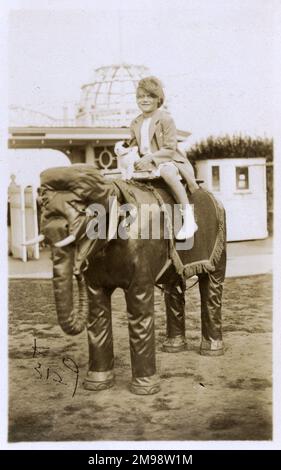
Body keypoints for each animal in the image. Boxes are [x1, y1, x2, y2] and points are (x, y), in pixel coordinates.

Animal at [31, 165, 226, 396]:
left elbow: (139, 303)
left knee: (212, 285)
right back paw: (174, 348)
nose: (78, 269)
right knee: (173, 288)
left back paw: (212, 351)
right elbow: (97, 307)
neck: (113, 188)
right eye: (43, 206)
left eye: (84, 210)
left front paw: (145, 390)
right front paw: (97, 386)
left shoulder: (141, 253)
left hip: (219, 239)